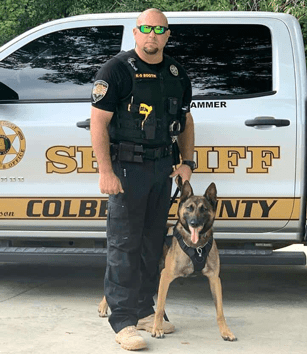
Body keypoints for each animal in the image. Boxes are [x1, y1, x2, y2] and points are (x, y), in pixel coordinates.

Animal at [97, 178, 237, 342]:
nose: (194, 223)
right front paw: (157, 329)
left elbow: (220, 311)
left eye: (204, 209)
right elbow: (160, 307)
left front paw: (226, 331)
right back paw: (103, 306)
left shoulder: (214, 279)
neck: (197, 247)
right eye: (189, 208)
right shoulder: (165, 277)